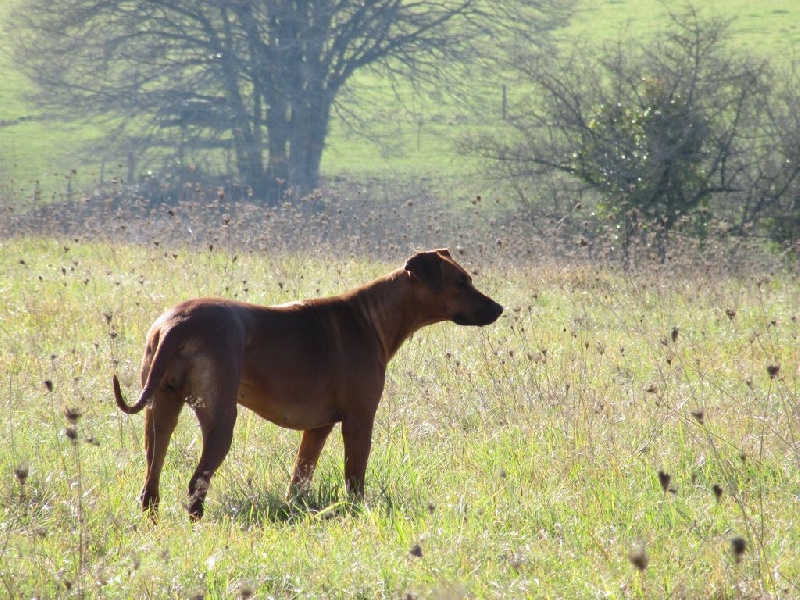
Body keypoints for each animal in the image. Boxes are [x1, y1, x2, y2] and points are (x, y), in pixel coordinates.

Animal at [113, 248, 503, 520]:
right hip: (221, 418)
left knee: (151, 480)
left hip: (160, 413)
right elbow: (355, 481)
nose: (499, 309)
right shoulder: (358, 422)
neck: (370, 317)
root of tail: (176, 322)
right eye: (461, 282)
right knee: (197, 482)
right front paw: (356, 513)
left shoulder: (317, 428)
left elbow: (299, 480)